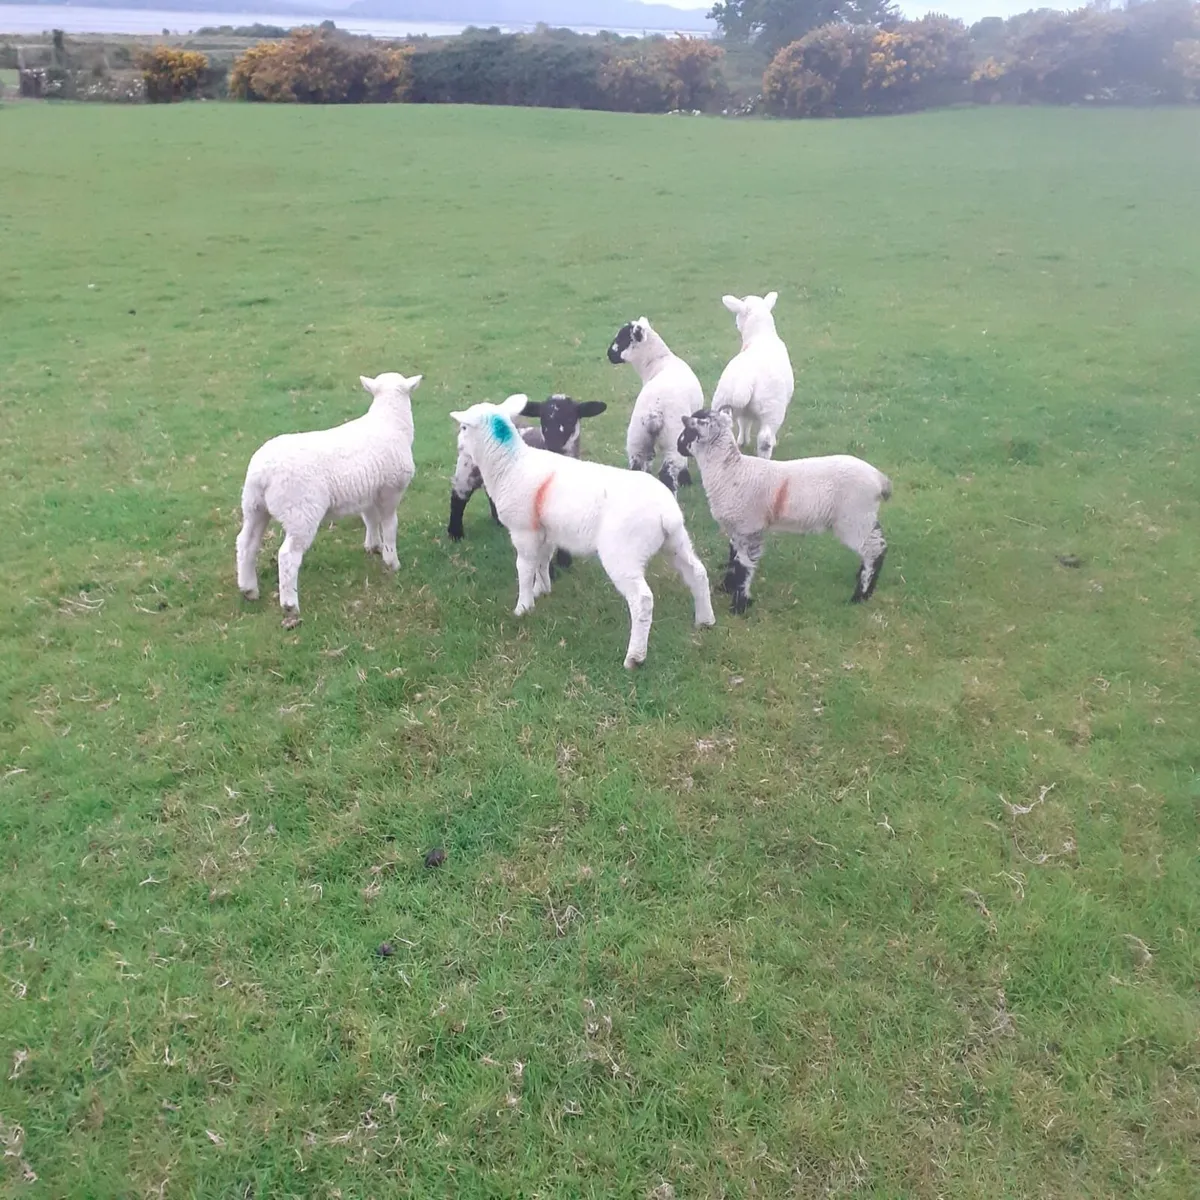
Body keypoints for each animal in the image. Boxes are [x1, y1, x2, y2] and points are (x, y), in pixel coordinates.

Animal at [236, 372, 420, 624]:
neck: (389, 421)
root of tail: (262, 472)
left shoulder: (368, 491)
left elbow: (370, 520)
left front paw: (373, 546)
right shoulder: (391, 490)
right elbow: (390, 525)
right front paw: (392, 562)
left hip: (254, 506)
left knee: (246, 543)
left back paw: (249, 589)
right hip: (301, 511)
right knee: (287, 556)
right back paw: (290, 605)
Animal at [447, 394, 608, 575]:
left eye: (571, 418)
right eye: (543, 419)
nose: (554, 445)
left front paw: (565, 561)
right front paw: (550, 572)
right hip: (467, 465)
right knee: (458, 496)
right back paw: (455, 533)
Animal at [607, 316, 701, 493]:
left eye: (622, 338)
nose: (609, 354)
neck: (659, 362)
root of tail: (654, 413)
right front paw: (686, 480)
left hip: (637, 438)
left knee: (637, 467)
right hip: (672, 439)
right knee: (667, 473)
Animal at [678, 407, 891, 614]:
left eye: (688, 432)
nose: (678, 446)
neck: (730, 470)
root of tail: (880, 480)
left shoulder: (749, 527)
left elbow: (744, 566)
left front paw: (740, 605)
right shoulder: (737, 527)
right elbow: (734, 559)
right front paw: (726, 587)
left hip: (853, 518)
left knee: (874, 550)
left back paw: (861, 594)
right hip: (863, 517)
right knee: (876, 542)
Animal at [712, 291, 794, 459]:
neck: (760, 335)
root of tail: (745, 382)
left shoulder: (744, 410)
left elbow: (744, 422)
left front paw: (743, 441)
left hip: (722, 400)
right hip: (771, 406)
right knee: (765, 439)